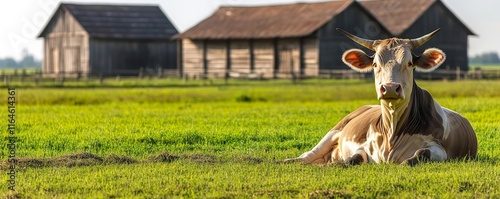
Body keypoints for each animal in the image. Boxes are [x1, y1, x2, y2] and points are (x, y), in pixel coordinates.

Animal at [286, 28, 476, 165]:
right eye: (375, 64)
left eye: (409, 63)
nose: (390, 88)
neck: (392, 130)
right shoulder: (363, 146)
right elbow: (353, 158)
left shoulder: (440, 149)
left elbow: (419, 154)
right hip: (335, 131)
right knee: (307, 155)